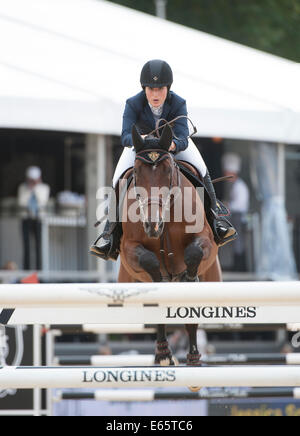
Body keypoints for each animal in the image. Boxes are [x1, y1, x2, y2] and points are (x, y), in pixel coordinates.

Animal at [118, 123, 221, 392]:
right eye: (138, 172)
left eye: (167, 171)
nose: (152, 225)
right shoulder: (129, 249)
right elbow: (152, 265)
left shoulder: (205, 239)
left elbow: (194, 253)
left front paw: (188, 278)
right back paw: (163, 354)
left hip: (212, 276)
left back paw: (194, 361)